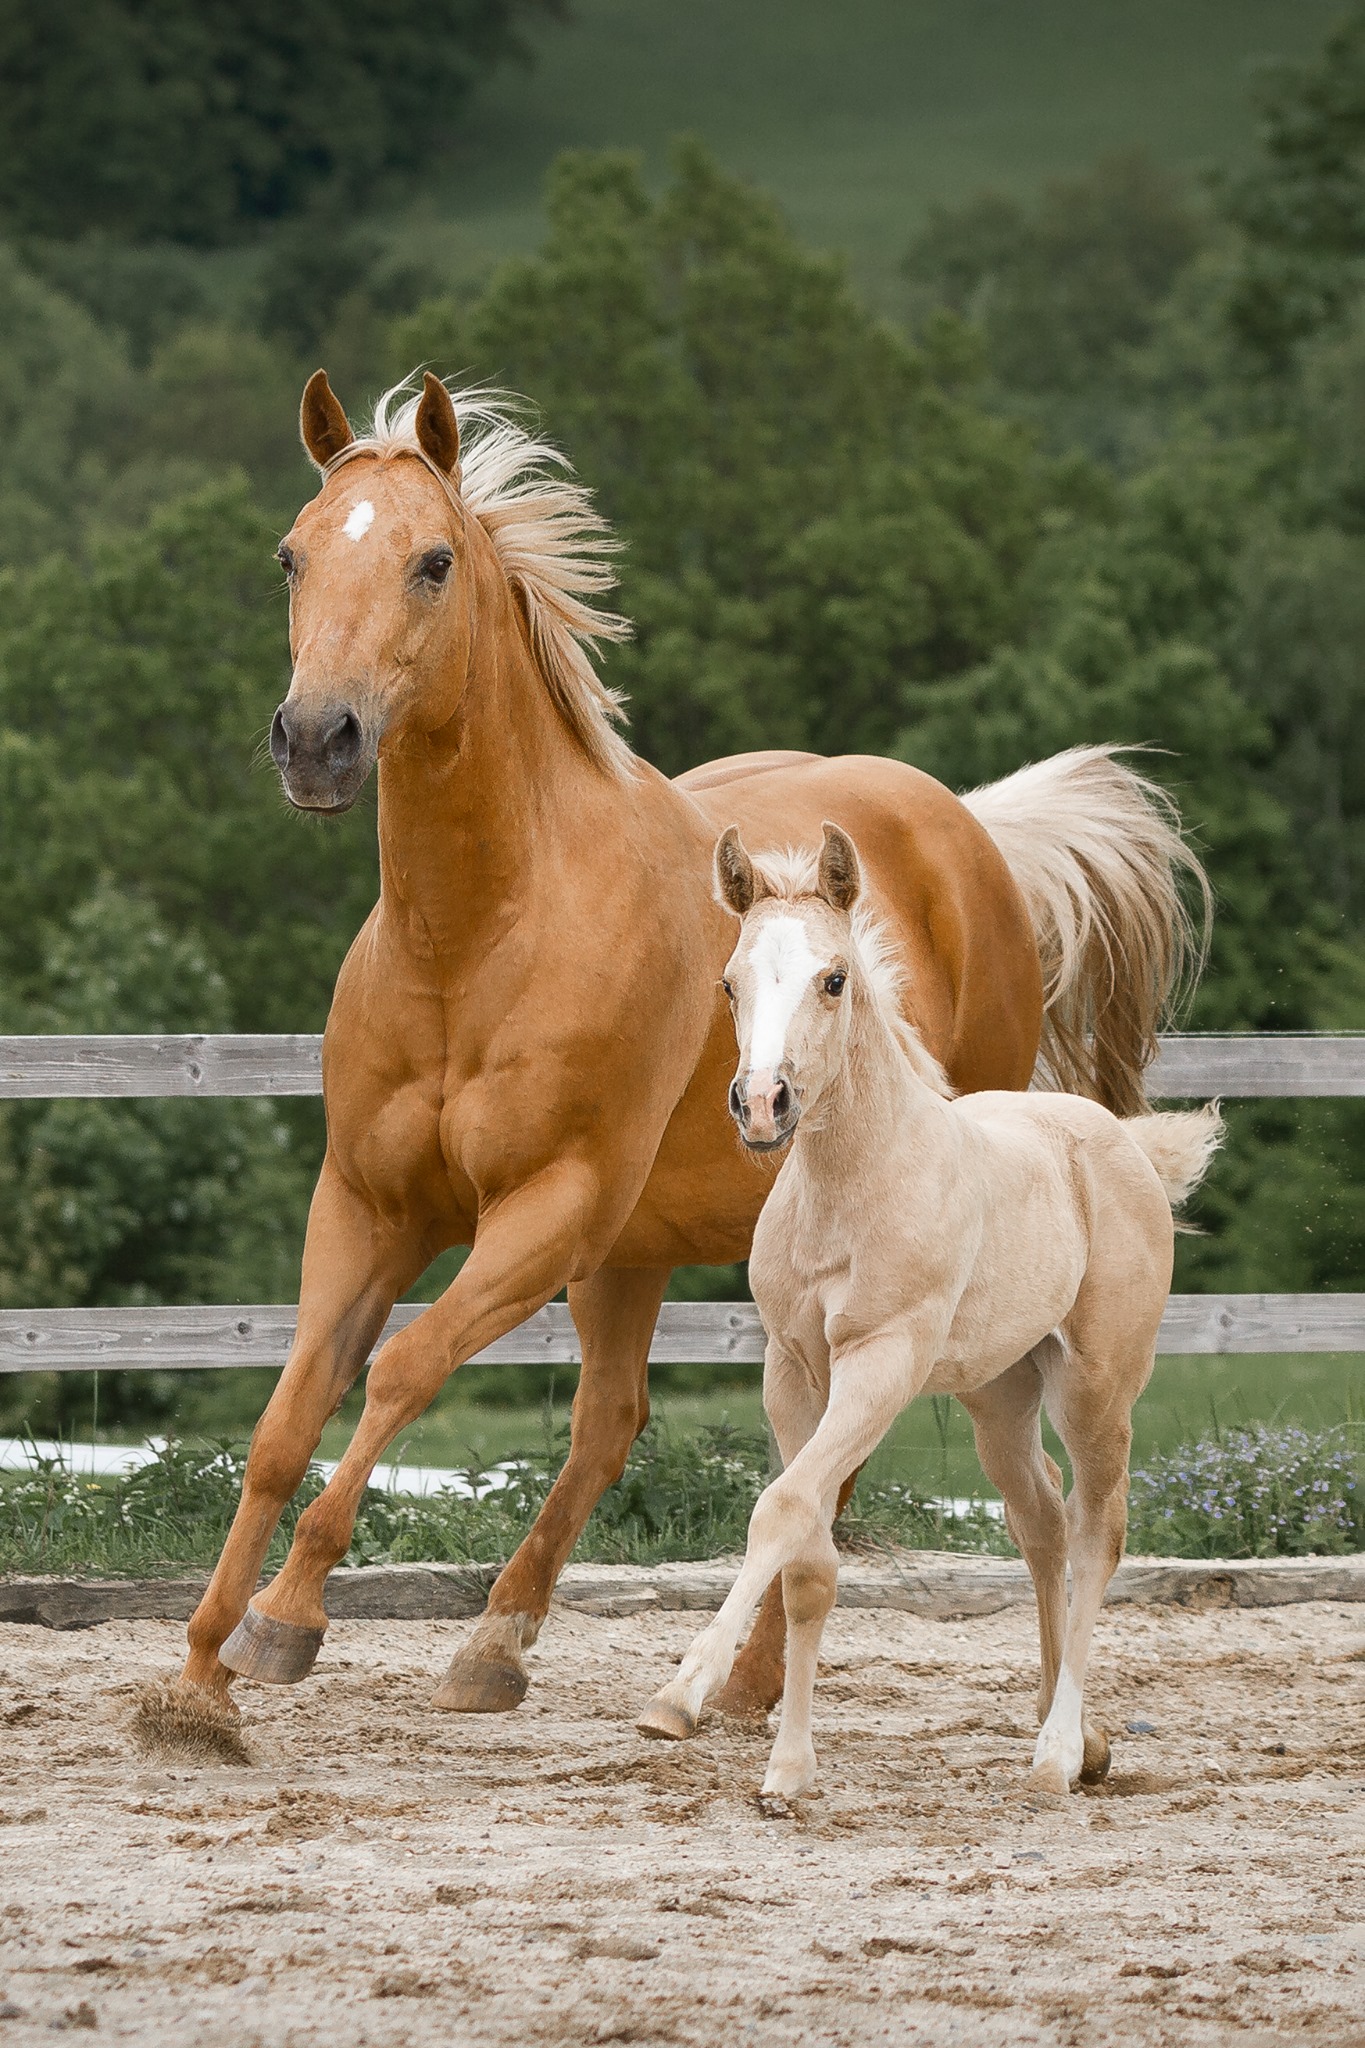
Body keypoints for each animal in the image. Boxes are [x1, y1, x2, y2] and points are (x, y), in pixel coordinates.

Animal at [642, 823, 1227, 1802]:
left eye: (833, 978)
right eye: (728, 982)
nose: (761, 1105)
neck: (852, 1186)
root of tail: (1121, 1142)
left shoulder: (883, 1360)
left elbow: (781, 1508)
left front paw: (681, 1696)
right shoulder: (792, 1369)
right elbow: (808, 1556)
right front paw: (789, 1769)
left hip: (1096, 1388)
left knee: (1095, 1532)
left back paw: (1056, 1752)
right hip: (998, 1396)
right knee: (1041, 1525)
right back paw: (1079, 1734)